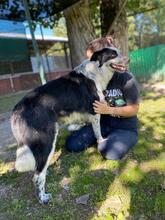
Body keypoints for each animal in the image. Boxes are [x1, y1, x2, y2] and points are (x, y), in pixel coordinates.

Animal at [10, 47, 125, 204]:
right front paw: (101, 141)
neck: (96, 71)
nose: (128, 58)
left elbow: (76, 124)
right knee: (38, 176)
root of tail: (17, 110)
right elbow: (98, 133)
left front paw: (78, 127)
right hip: (46, 142)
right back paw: (43, 198)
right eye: (113, 54)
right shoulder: (95, 111)